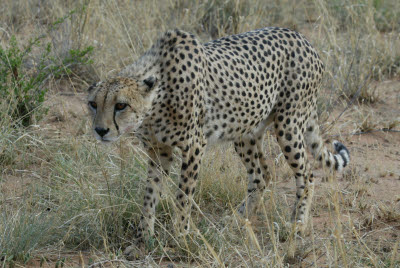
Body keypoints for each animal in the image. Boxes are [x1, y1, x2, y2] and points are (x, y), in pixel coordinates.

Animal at [87, 27, 350, 258]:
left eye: (121, 105)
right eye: (93, 104)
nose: (100, 130)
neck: (155, 102)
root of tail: (302, 39)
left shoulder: (194, 146)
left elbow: (183, 197)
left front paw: (180, 238)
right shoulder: (158, 151)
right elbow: (149, 196)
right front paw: (143, 241)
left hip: (288, 125)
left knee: (307, 175)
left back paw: (297, 223)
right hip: (246, 131)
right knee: (261, 175)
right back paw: (237, 219)